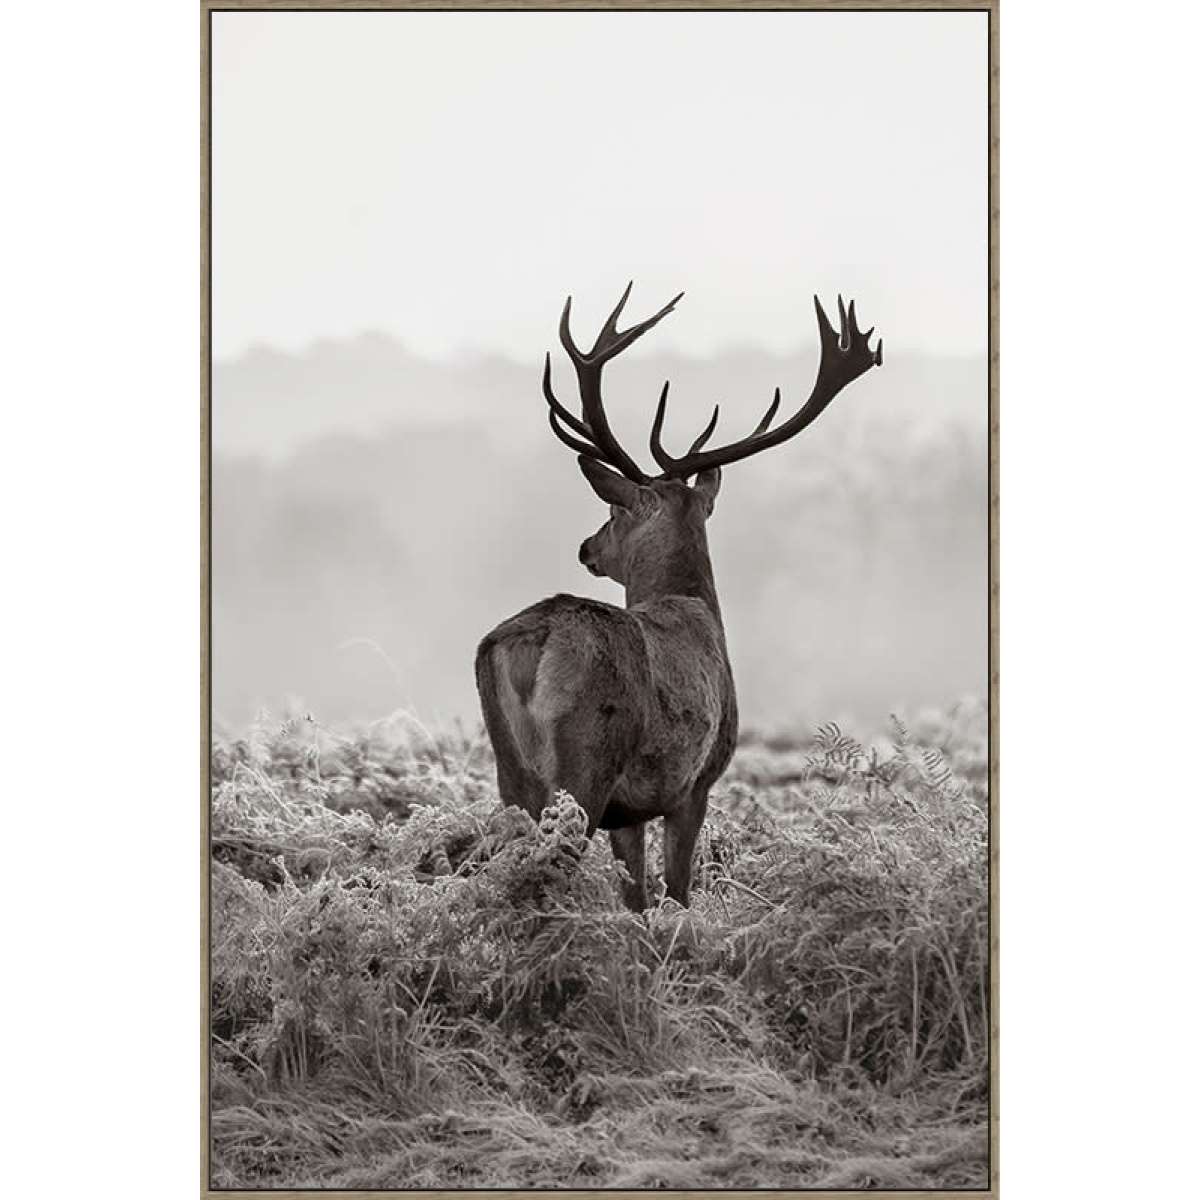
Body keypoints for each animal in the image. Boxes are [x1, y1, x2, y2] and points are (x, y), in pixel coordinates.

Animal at [475, 283, 882, 911]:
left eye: (613, 509)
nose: (587, 547)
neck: (693, 605)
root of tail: (529, 642)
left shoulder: (630, 812)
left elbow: (637, 896)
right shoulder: (696, 782)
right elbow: (678, 892)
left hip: (510, 769)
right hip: (586, 761)